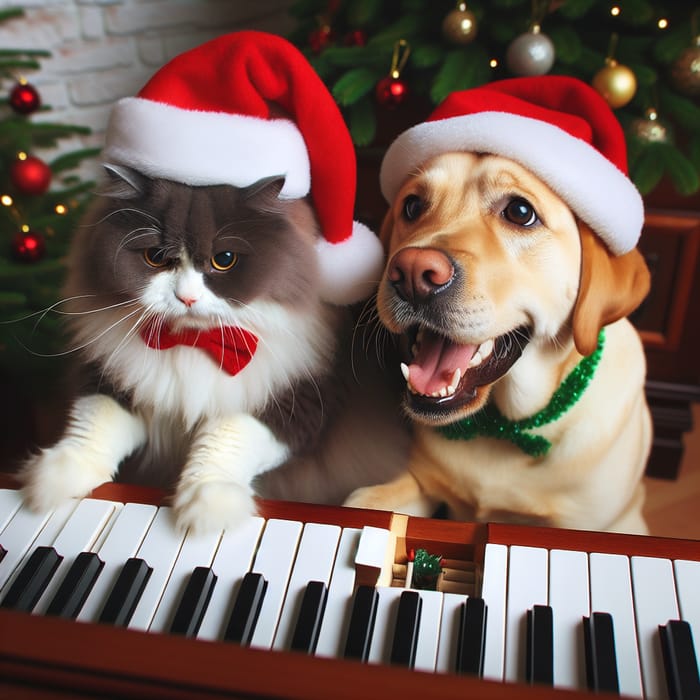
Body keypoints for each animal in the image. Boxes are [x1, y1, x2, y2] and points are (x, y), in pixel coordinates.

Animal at [19, 167, 408, 532]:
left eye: (224, 259)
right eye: (156, 256)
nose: (186, 298)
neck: (192, 343)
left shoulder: (300, 402)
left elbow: (226, 438)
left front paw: (205, 510)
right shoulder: (112, 378)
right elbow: (94, 425)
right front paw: (50, 483)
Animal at [344, 150, 652, 532]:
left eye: (520, 212)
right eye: (412, 206)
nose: (413, 273)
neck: (505, 429)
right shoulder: (420, 481)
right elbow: (361, 501)